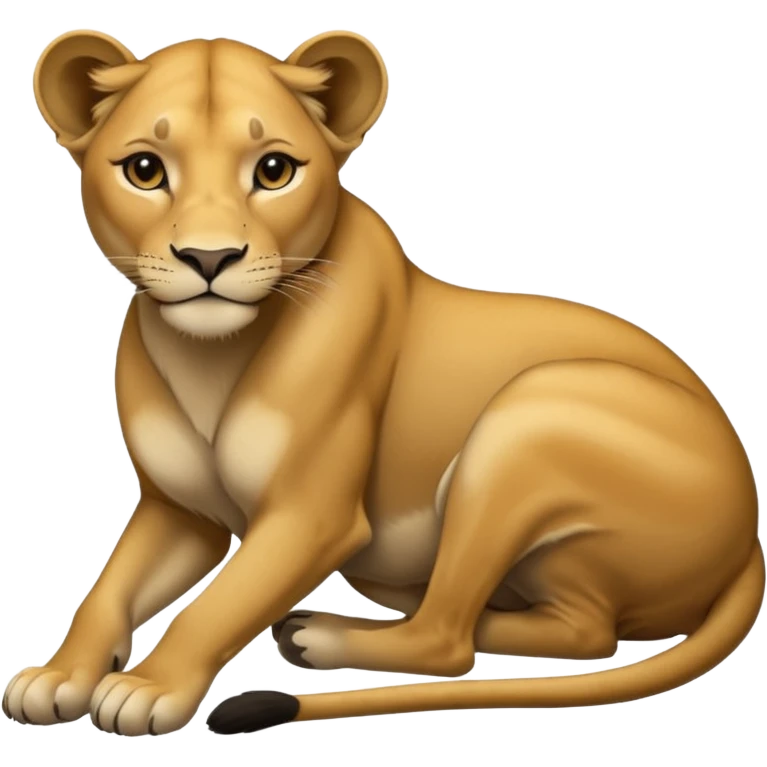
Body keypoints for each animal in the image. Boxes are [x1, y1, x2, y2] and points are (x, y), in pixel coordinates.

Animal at [5, 28, 762, 736]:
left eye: (274, 170)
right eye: (145, 169)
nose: (209, 258)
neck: (210, 356)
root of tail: (748, 545)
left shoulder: (312, 515)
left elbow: (219, 603)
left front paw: (146, 686)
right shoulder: (180, 512)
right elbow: (107, 589)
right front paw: (58, 674)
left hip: (531, 413)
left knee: (460, 639)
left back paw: (324, 632)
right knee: (564, 628)